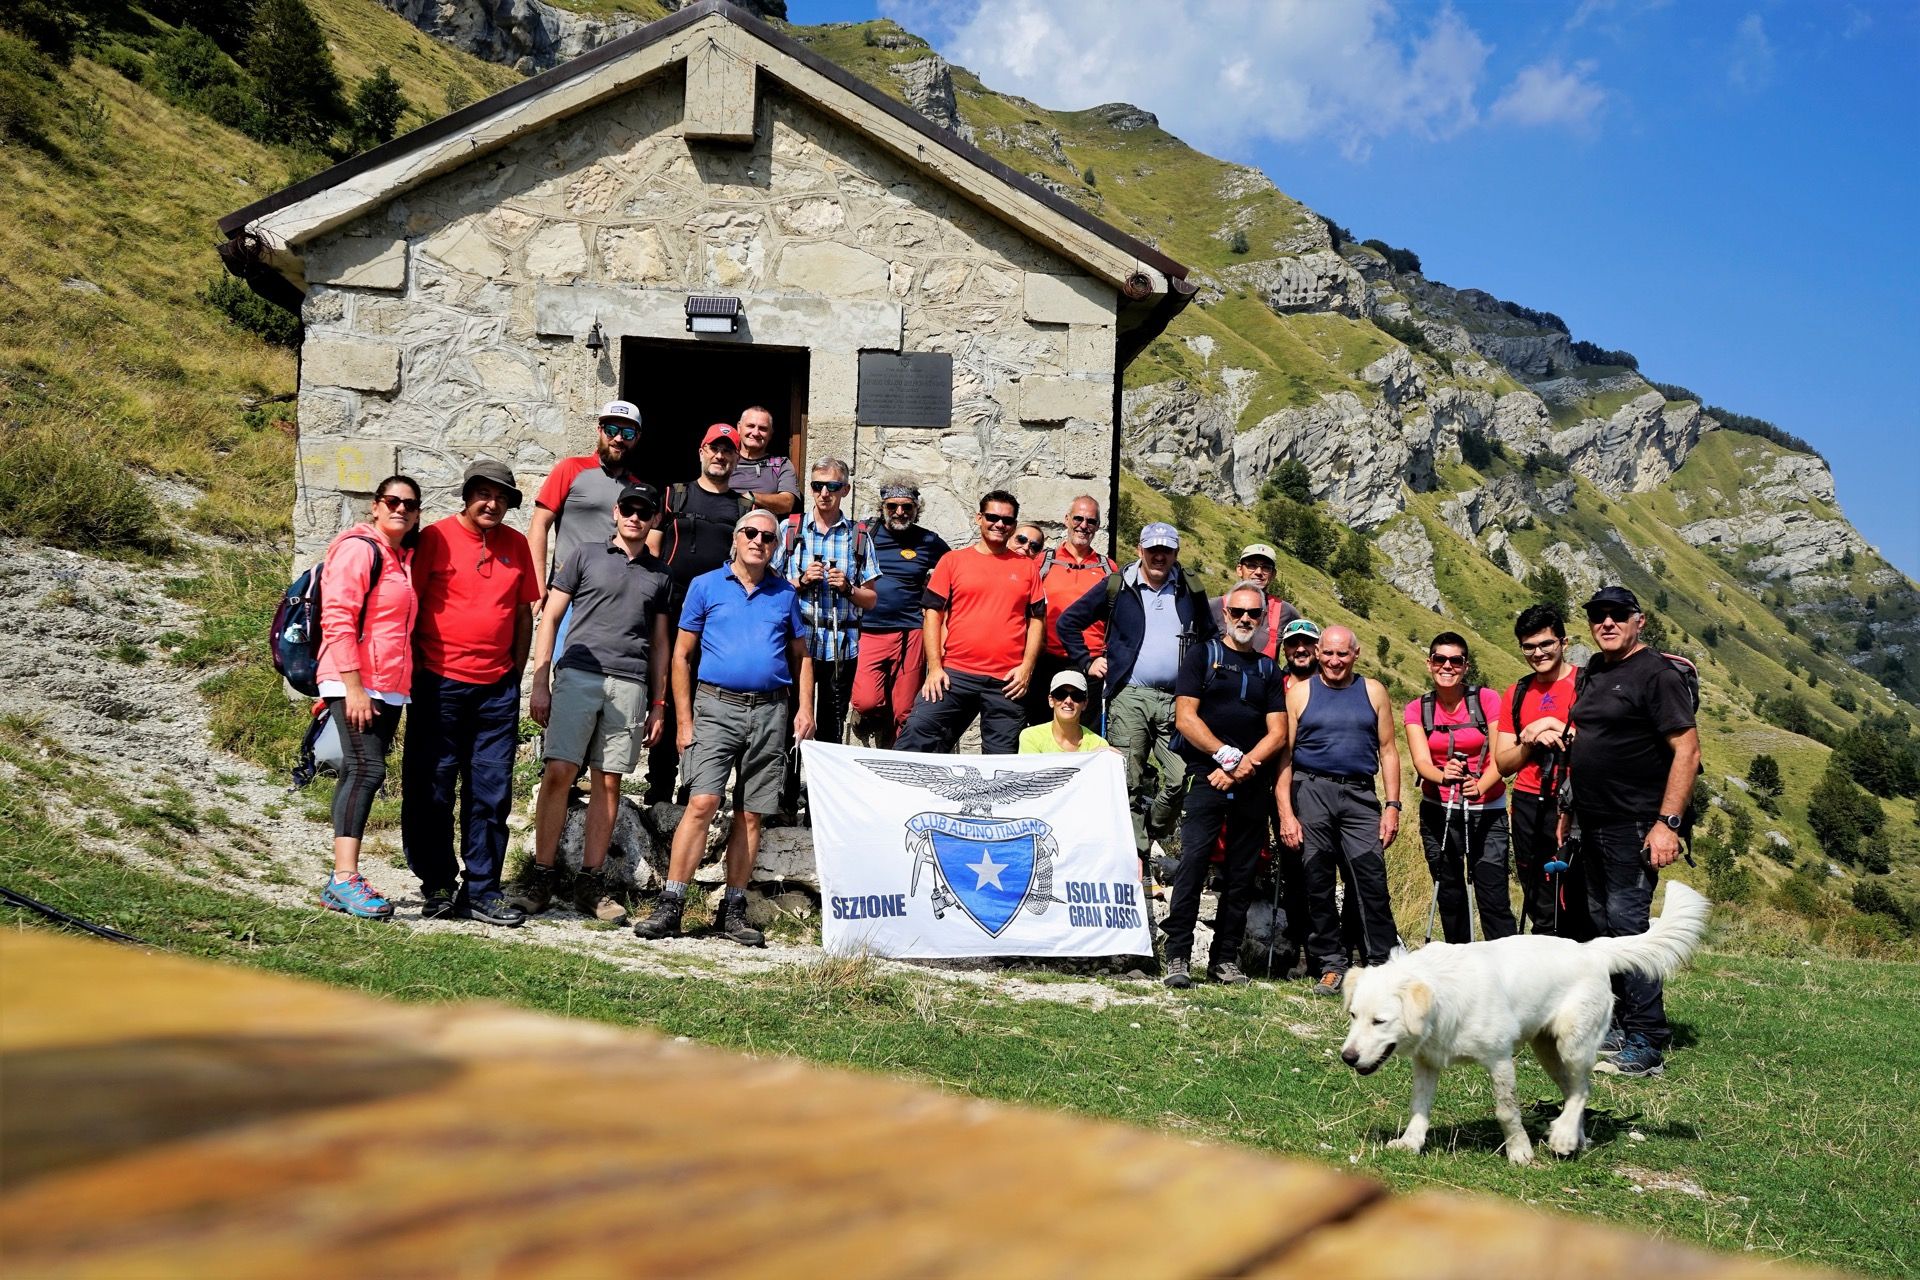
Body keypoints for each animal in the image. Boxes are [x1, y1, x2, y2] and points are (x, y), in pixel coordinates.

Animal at [1336, 886, 1712, 1166]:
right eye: (1353, 1015)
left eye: (1380, 1020)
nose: (1347, 1058)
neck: (1445, 996)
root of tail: (1593, 949)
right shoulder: (1427, 1062)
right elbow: (1419, 1105)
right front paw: (1411, 1142)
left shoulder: (1500, 1060)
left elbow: (1506, 1111)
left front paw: (1519, 1151)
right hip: (1547, 1050)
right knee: (1573, 1091)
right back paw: (1575, 1136)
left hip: (1572, 1044)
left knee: (1583, 1089)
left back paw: (1562, 1138)